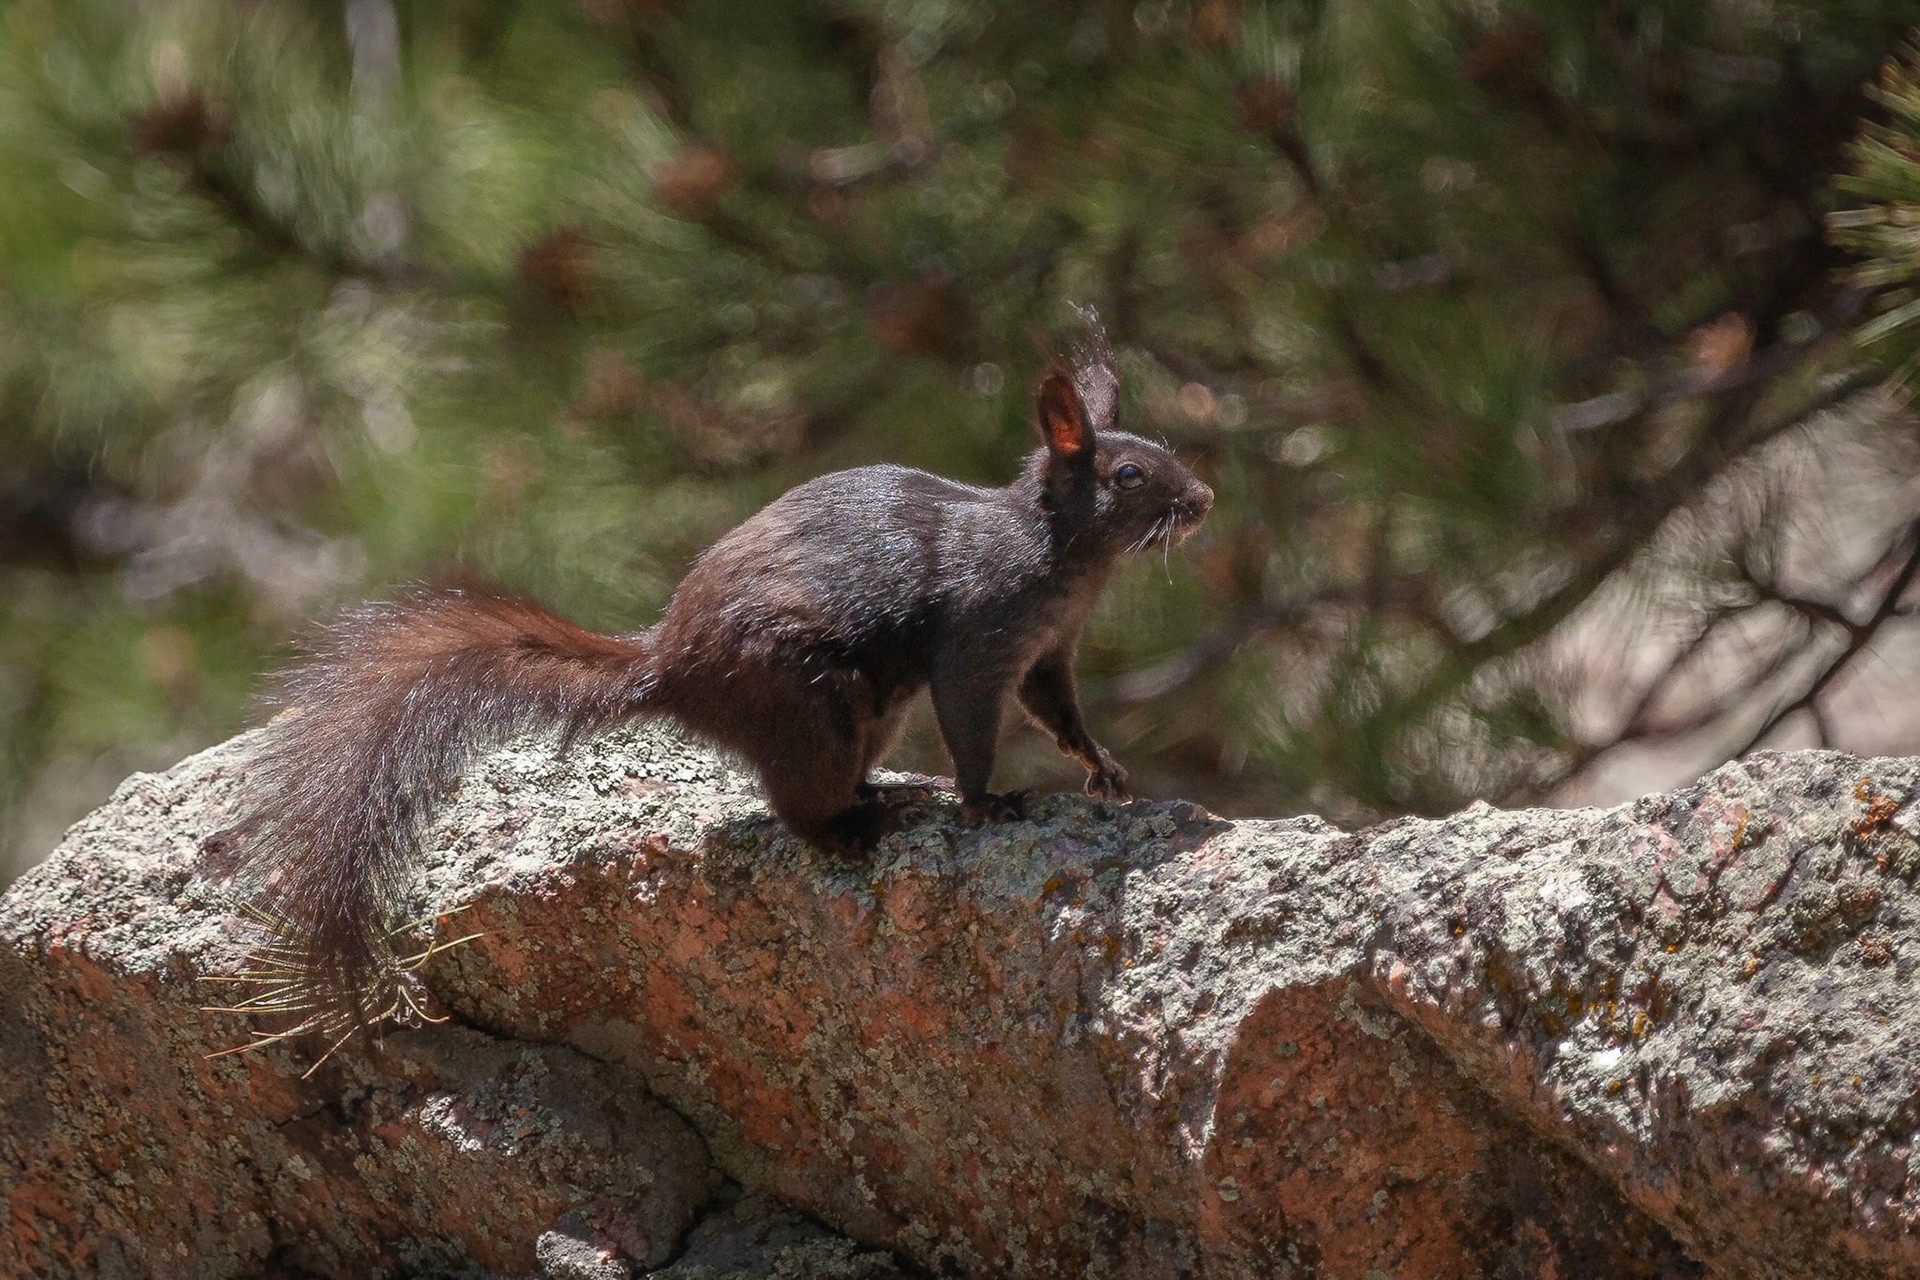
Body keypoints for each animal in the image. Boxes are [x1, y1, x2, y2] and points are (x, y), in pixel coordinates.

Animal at [219, 311, 1213, 1034]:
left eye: (1165, 451)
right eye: (1129, 474)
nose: (1205, 498)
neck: (1061, 559)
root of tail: (670, 668)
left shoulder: (1051, 651)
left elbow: (1059, 712)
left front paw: (1103, 770)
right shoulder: (981, 632)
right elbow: (973, 718)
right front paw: (988, 801)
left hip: (865, 710)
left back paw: (883, 793)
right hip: (808, 694)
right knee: (797, 806)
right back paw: (857, 825)